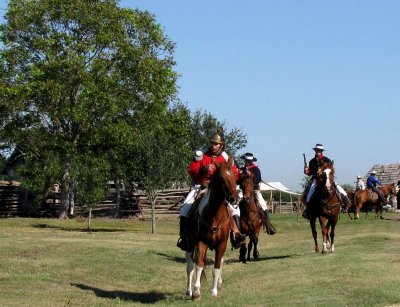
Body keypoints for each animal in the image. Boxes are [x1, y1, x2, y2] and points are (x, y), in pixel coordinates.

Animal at [184, 156, 238, 300]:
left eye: (234, 176)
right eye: (221, 178)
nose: (234, 199)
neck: (215, 215)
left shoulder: (222, 245)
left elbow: (216, 268)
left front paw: (214, 291)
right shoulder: (201, 242)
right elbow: (199, 265)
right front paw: (196, 292)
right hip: (189, 245)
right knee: (190, 267)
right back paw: (188, 291)